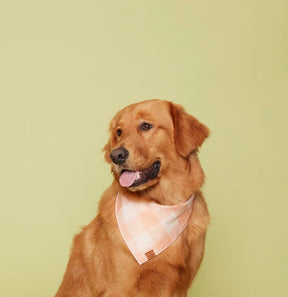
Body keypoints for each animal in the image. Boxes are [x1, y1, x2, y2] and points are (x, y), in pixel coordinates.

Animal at [55, 100, 210, 296]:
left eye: (146, 126)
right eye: (119, 132)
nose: (116, 155)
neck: (163, 205)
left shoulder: (181, 285)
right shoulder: (120, 286)